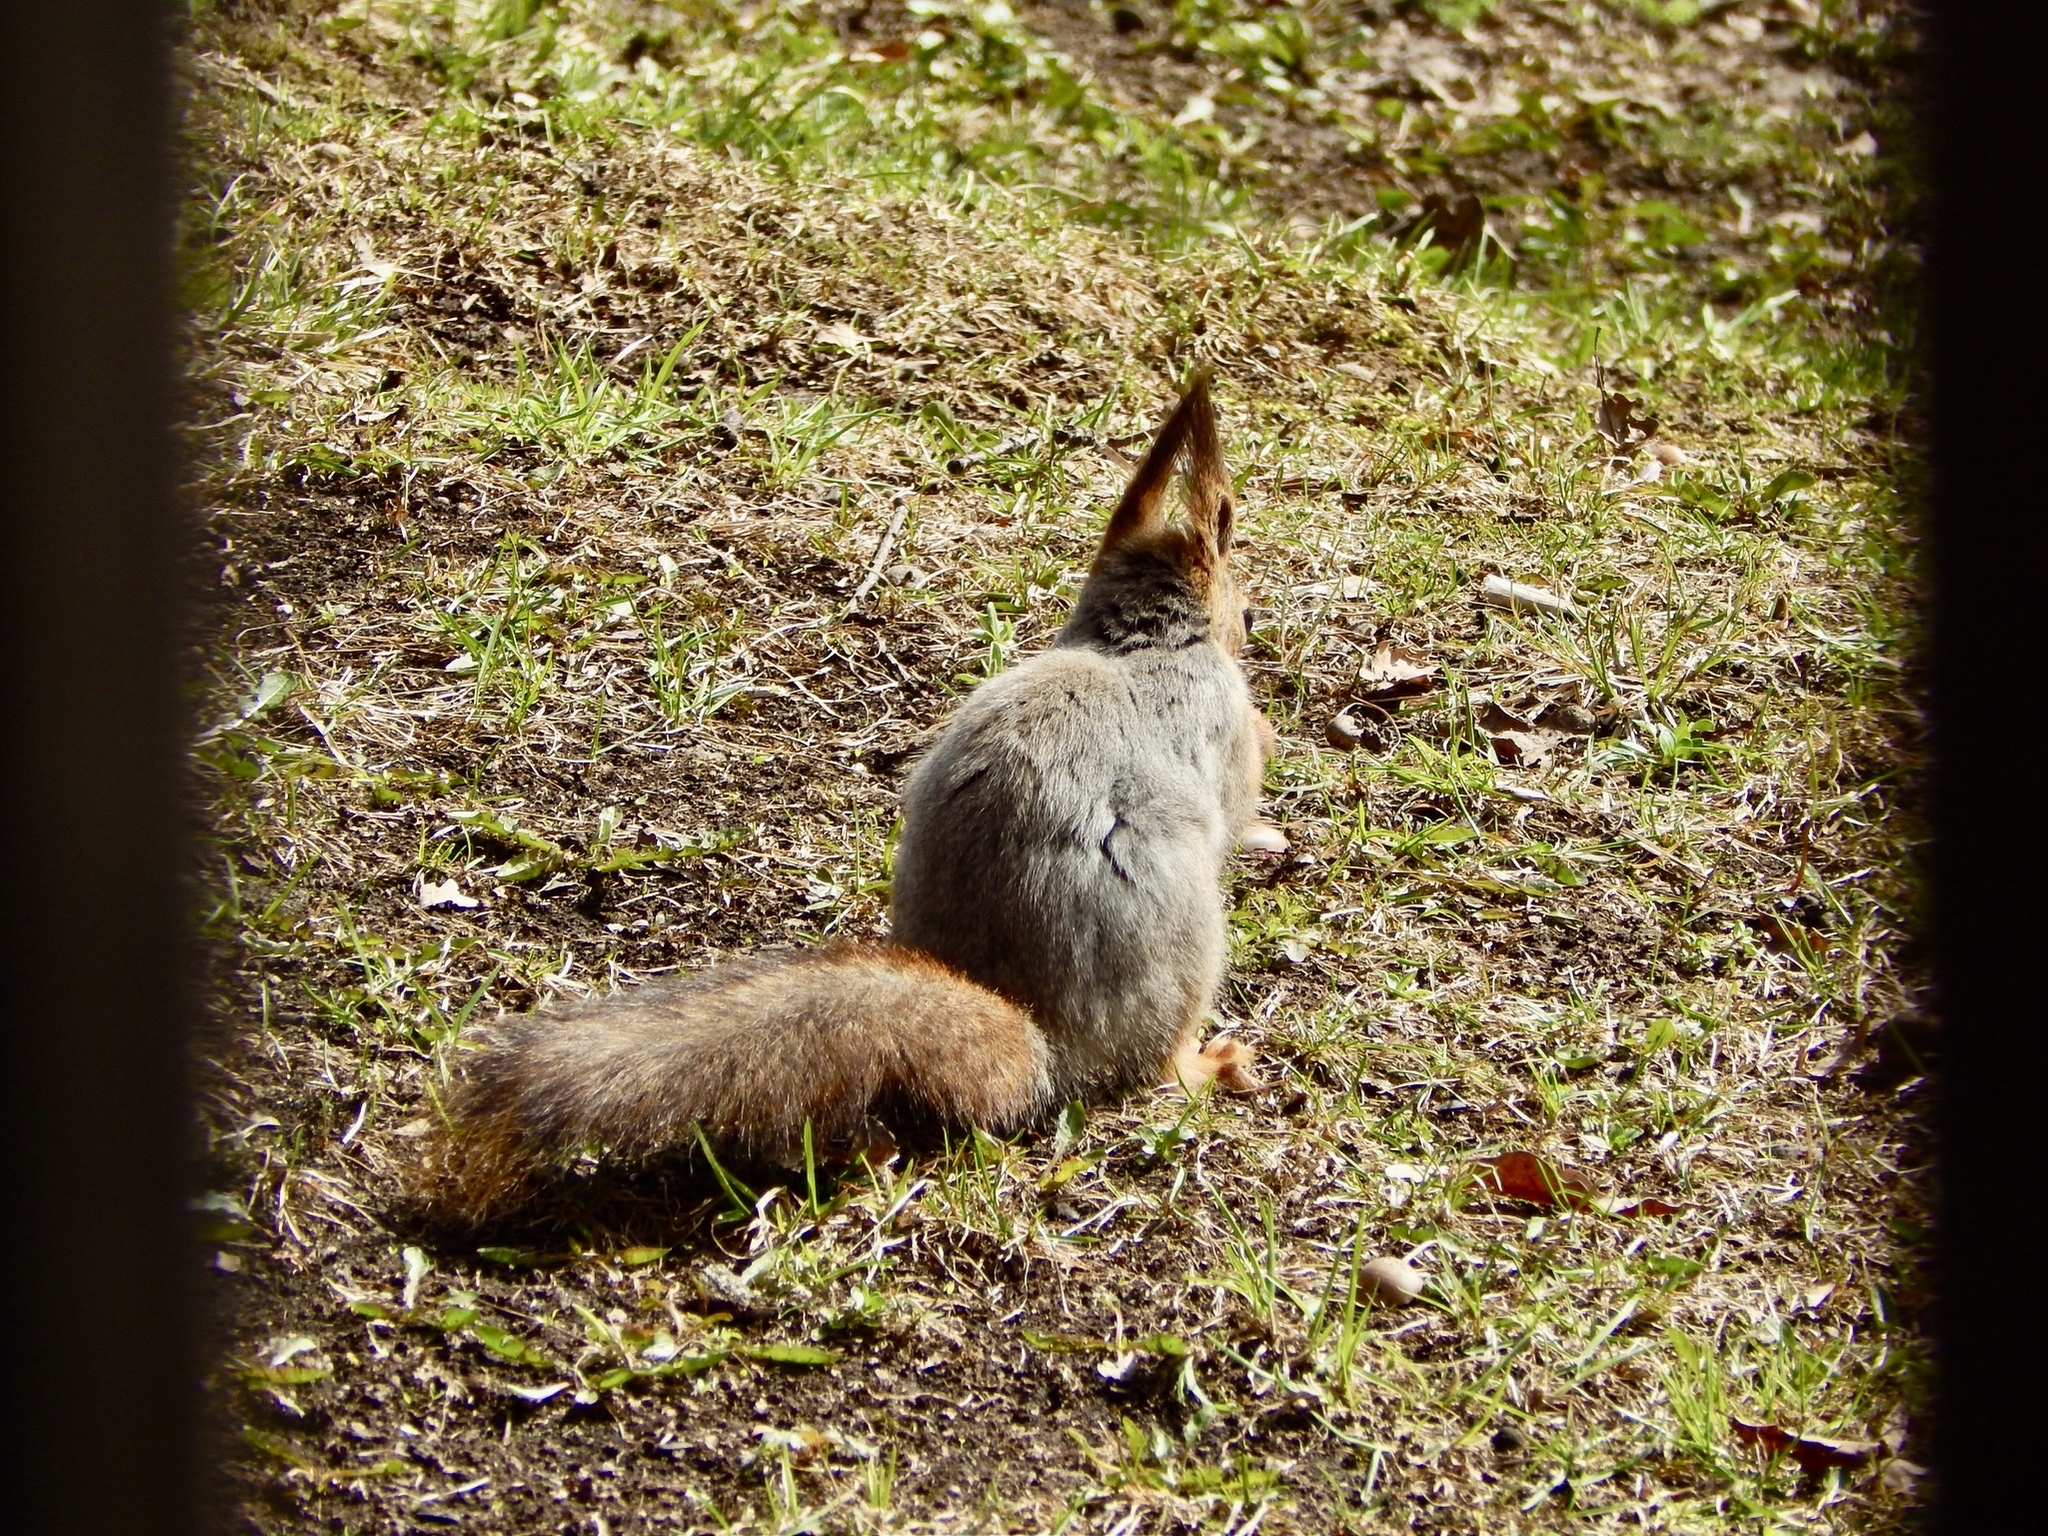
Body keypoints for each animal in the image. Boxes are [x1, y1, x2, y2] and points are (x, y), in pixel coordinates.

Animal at [417, 378, 1269, 1220]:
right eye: (1244, 605)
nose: (1252, 624)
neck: (1138, 640)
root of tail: (1041, 1035)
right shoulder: (1225, 731)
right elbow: (1239, 805)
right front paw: (1266, 831)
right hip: (1185, 949)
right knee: (1156, 1067)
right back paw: (1210, 1063)